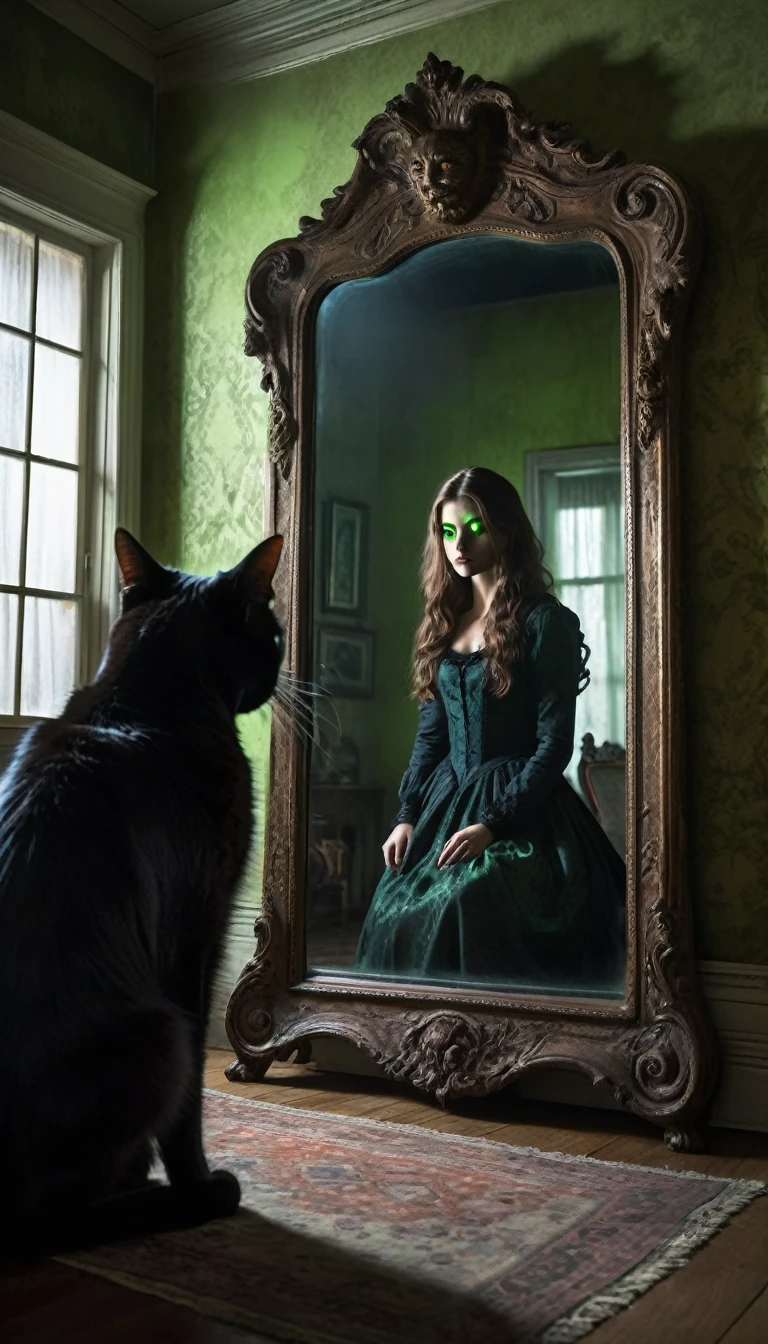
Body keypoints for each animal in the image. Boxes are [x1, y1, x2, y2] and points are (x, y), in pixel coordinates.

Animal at [0, 526, 285, 1257]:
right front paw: (195, 1176)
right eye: (273, 632)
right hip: (162, 1035)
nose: (283, 663)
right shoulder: (198, 936)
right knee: (52, 1214)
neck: (138, 703)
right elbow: (190, 1110)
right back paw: (176, 1197)